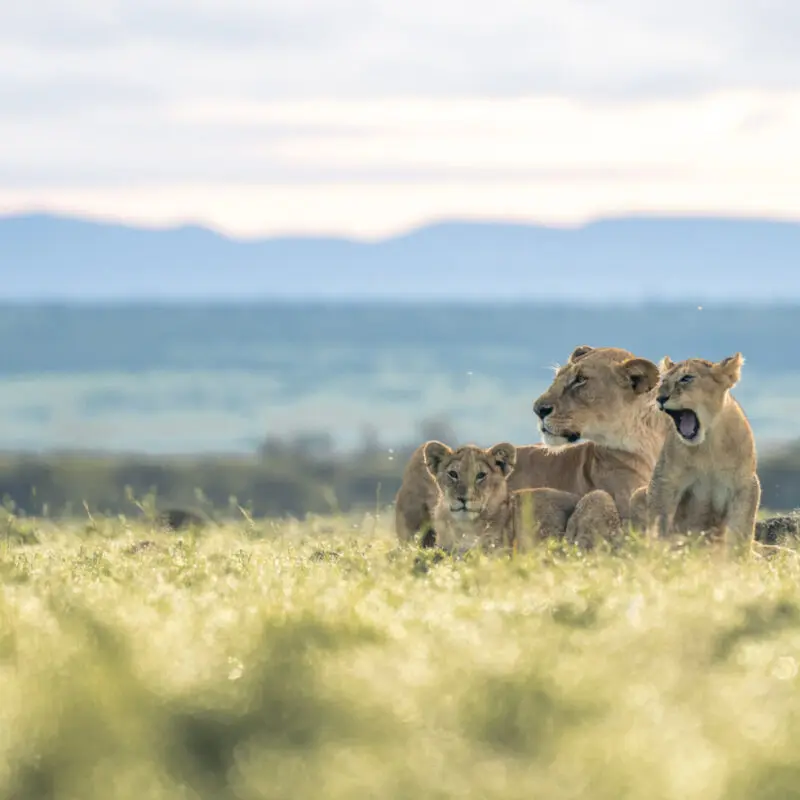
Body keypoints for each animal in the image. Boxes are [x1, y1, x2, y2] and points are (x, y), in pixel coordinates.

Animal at [631, 353, 760, 556]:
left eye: (687, 378)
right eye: (663, 381)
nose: (660, 398)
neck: (708, 444)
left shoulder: (745, 483)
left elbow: (741, 529)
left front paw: (737, 559)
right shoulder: (665, 480)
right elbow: (660, 520)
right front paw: (660, 554)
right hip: (637, 494)